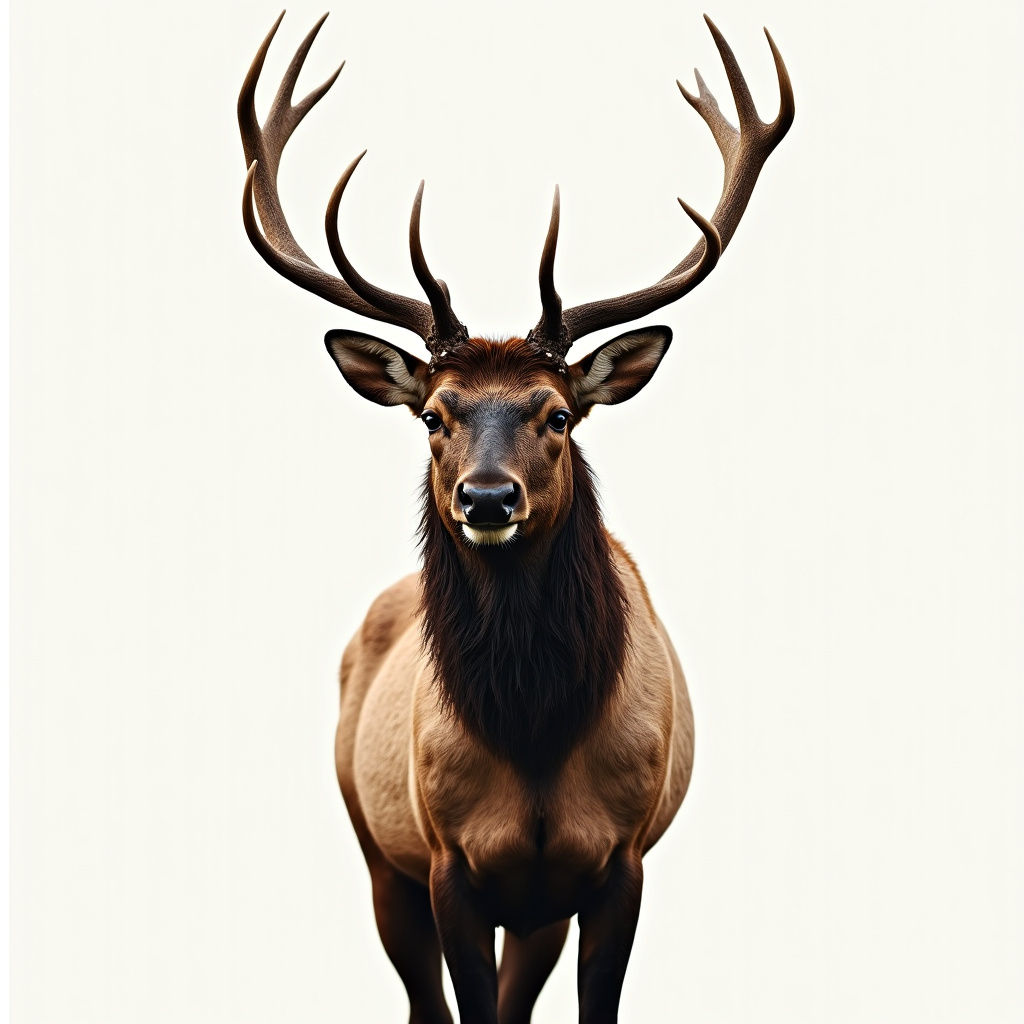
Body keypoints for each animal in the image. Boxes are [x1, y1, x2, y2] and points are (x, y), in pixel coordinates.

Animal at [238, 11, 793, 1023]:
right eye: (433, 414)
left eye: (558, 413)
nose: (488, 498)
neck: (534, 739)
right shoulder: (447, 861)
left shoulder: (621, 860)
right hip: (376, 848)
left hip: (531, 910)